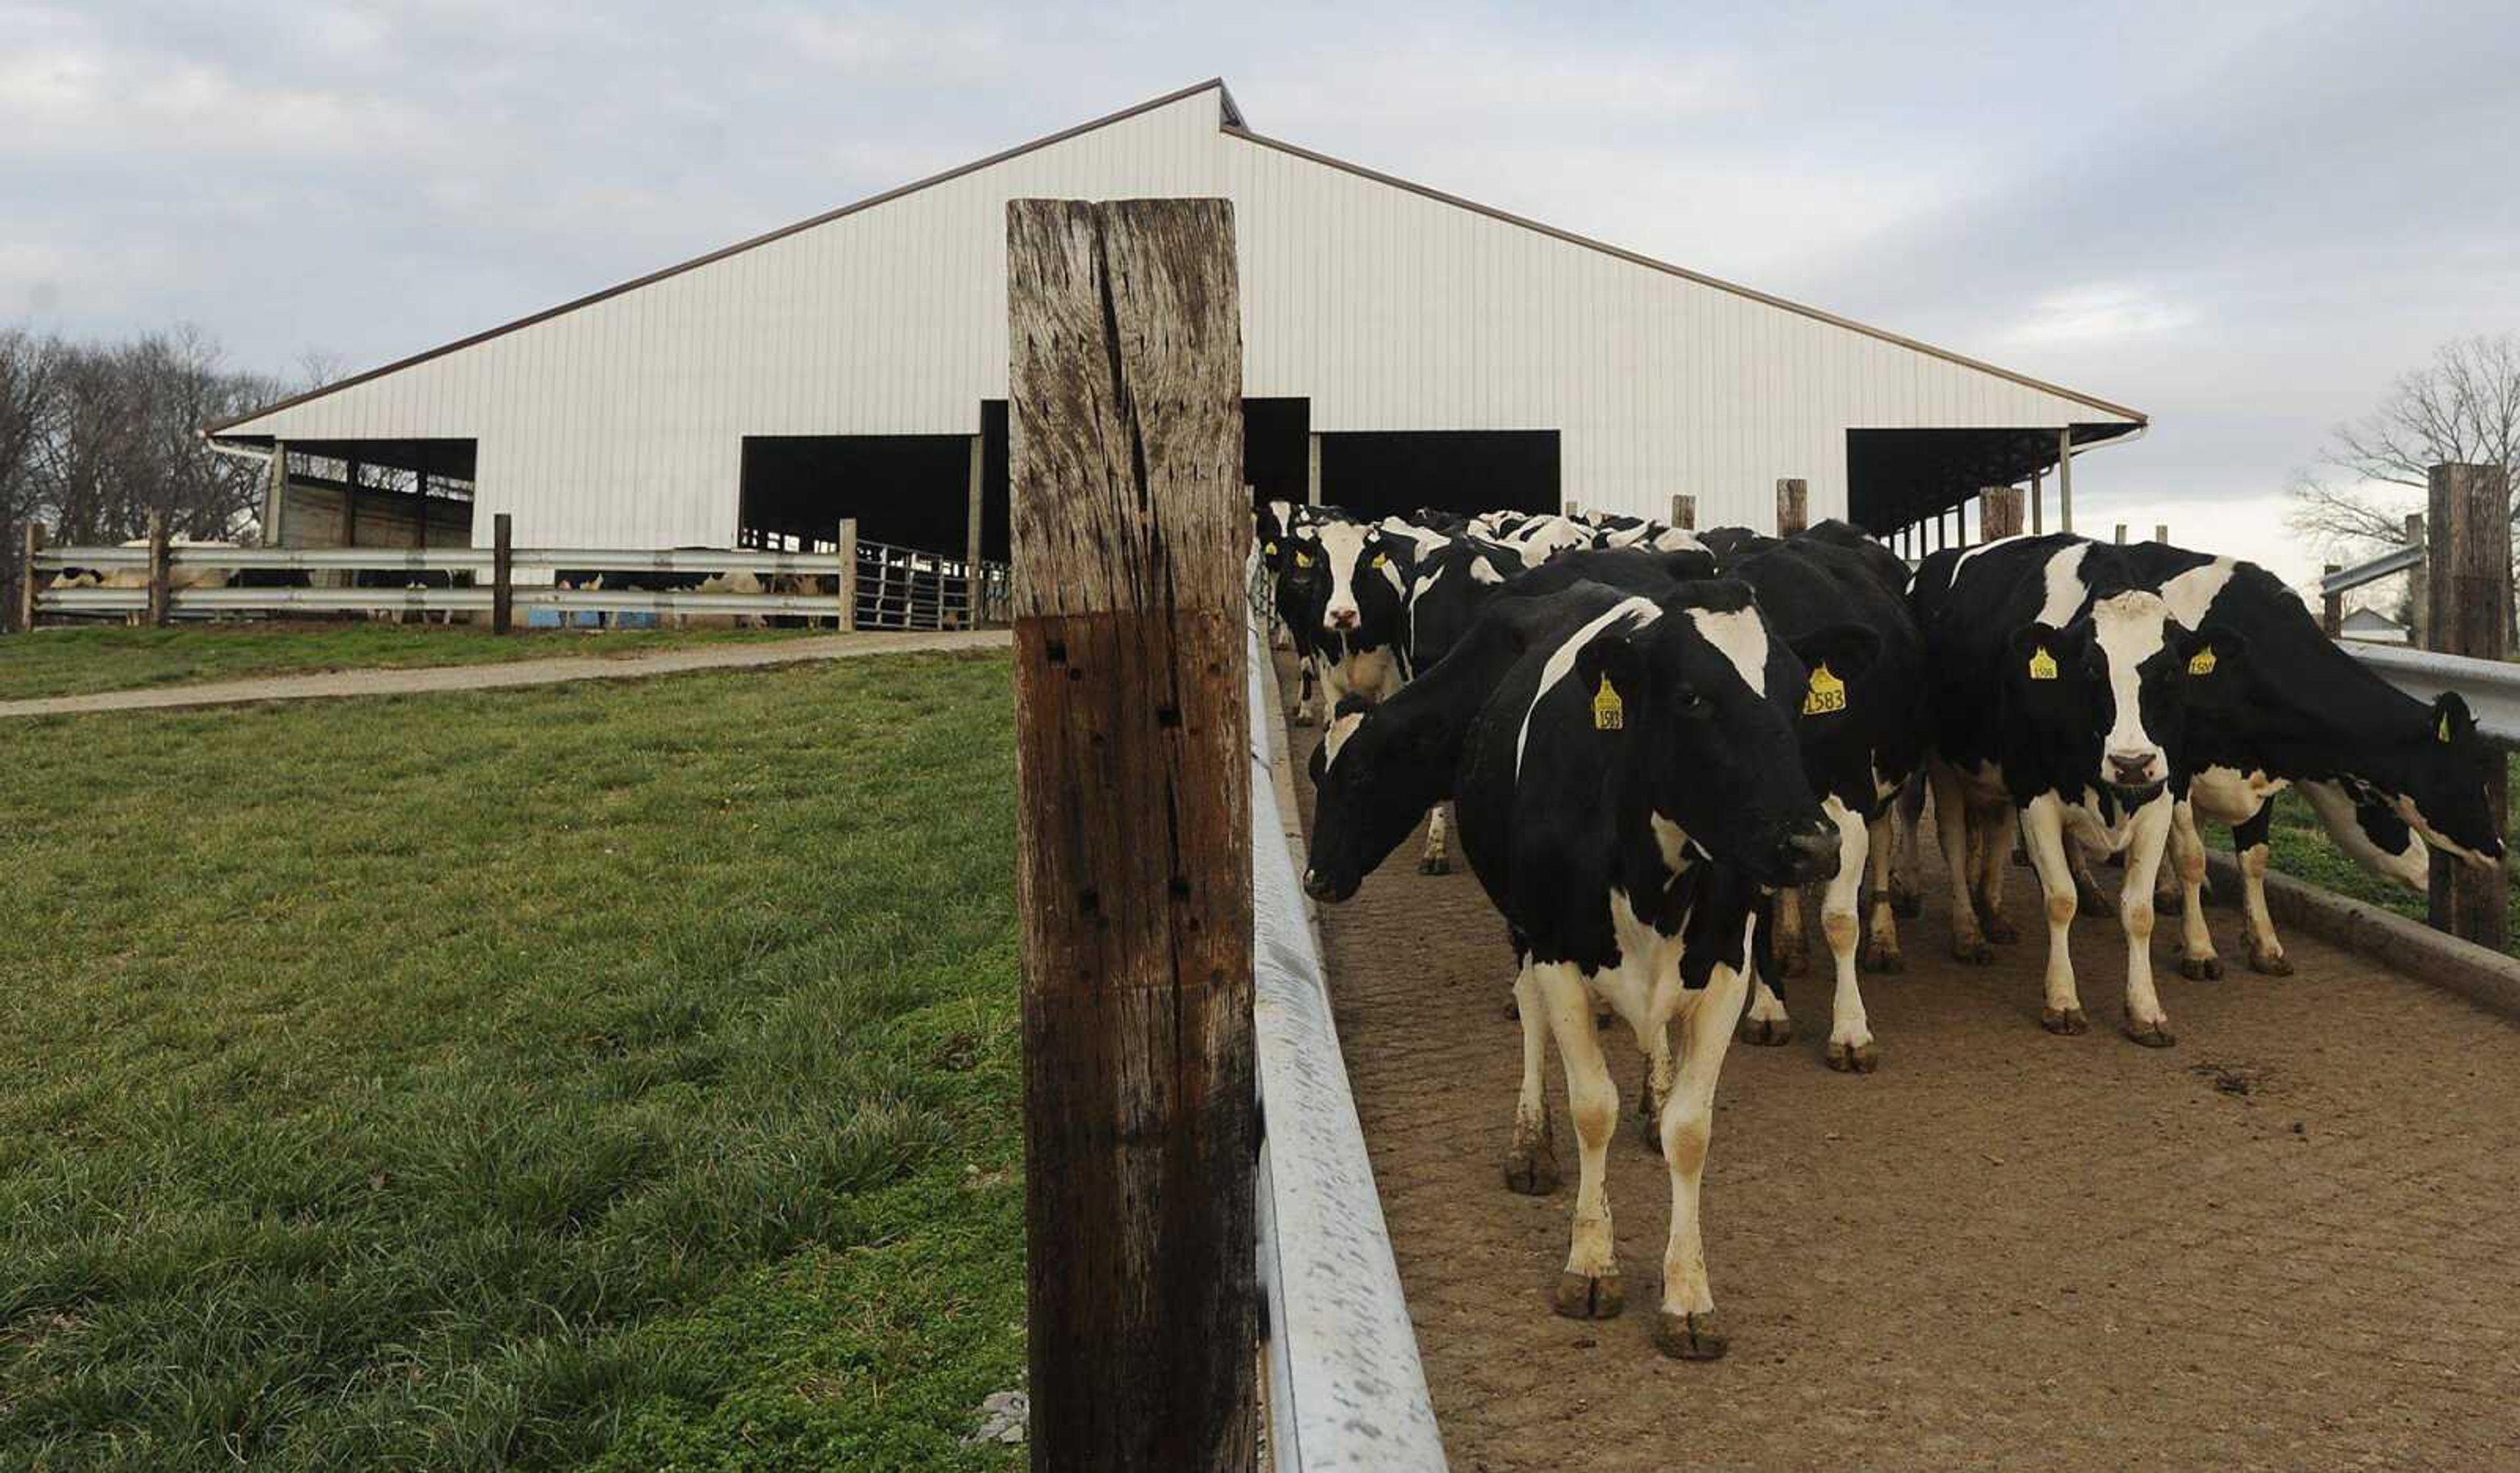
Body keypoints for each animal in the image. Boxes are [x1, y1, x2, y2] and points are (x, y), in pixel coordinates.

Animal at [1310, 575, 1864, 1361]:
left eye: (1795, 697)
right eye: (1692, 698)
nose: (1813, 845)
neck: (1651, 872)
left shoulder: (1726, 964)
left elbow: (1691, 1131)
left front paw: (1689, 1296)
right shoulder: (1554, 949)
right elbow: (1590, 1105)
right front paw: (1592, 1264)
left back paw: (1651, 1099)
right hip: (1522, 924)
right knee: (1533, 1020)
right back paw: (1531, 1145)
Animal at [1905, 534, 2248, 1039]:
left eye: (2170, 670)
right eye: (2089, 669)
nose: (2130, 763)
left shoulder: (2160, 796)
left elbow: (2139, 911)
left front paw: (2145, 1009)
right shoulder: (2035, 793)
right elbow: (2060, 899)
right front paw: (2063, 1001)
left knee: (1995, 831)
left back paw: (1993, 913)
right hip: (1941, 757)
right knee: (1952, 838)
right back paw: (1968, 931)